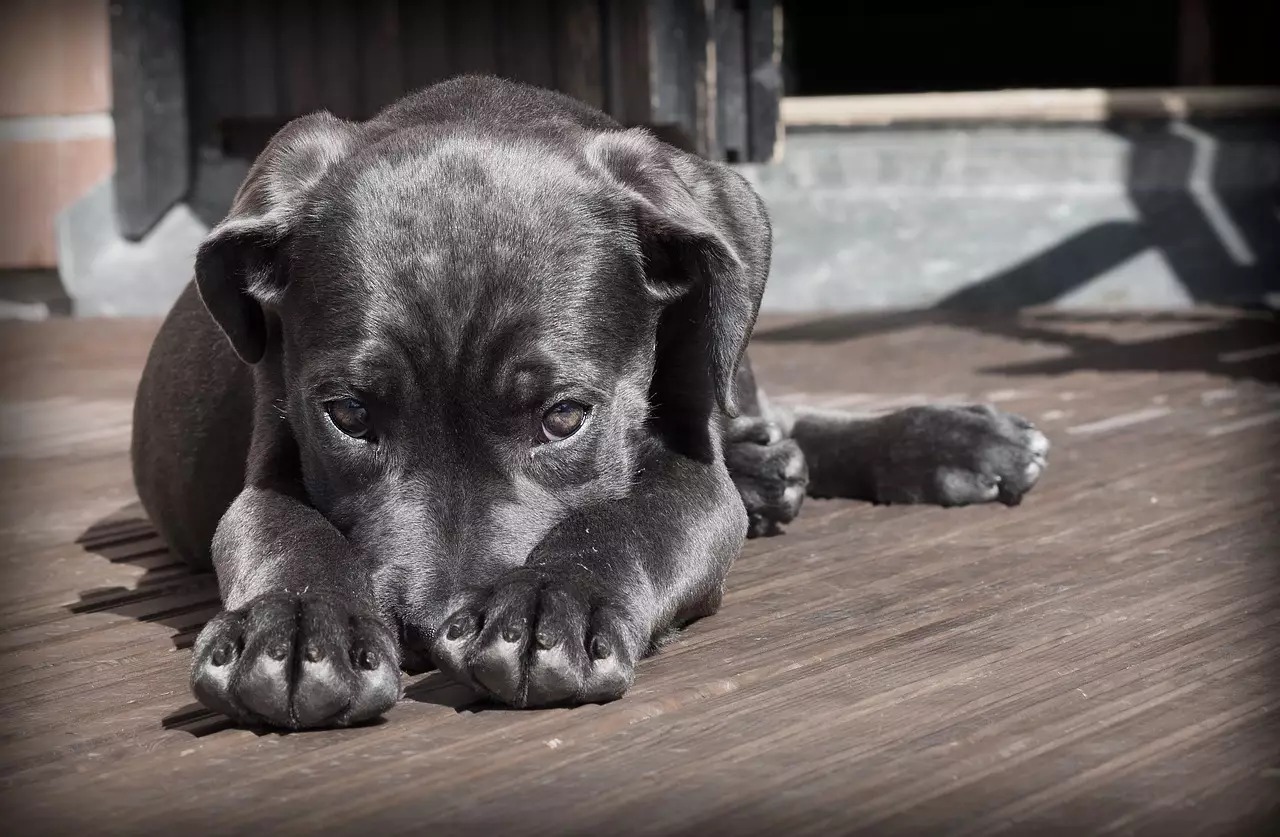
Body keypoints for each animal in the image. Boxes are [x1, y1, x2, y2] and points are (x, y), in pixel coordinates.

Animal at [132, 75, 1049, 726]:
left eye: (564, 416)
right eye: (348, 416)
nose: (427, 629)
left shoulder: (690, 471)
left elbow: (632, 518)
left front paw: (550, 604)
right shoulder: (270, 459)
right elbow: (283, 528)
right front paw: (294, 628)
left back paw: (946, 441)